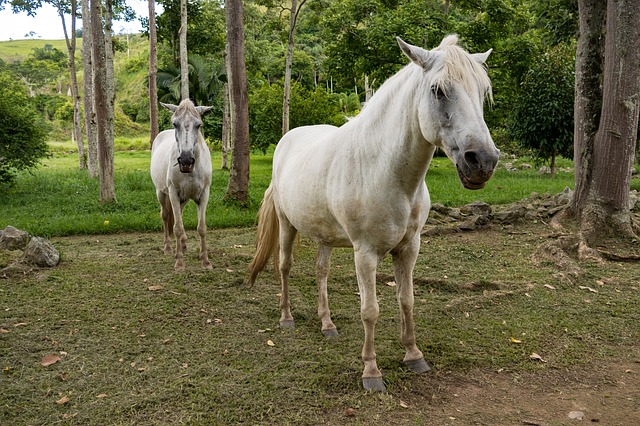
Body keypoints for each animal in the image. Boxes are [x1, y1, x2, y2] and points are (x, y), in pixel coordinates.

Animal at [149, 100, 212, 270]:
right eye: (175, 123)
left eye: (199, 125)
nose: (185, 161)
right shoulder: (173, 194)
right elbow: (176, 228)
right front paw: (179, 262)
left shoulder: (204, 194)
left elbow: (202, 228)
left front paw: (205, 261)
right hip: (161, 193)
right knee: (165, 216)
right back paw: (168, 247)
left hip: (183, 199)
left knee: (179, 216)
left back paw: (183, 245)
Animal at [246, 35, 500, 392]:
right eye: (437, 90)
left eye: (482, 90)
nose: (483, 162)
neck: (384, 170)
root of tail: (287, 140)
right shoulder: (365, 253)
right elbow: (370, 310)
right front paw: (371, 372)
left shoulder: (409, 249)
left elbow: (406, 300)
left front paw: (414, 355)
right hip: (286, 225)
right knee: (284, 266)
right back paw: (287, 318)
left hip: (325, 237)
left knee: (321, 272)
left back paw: (327, 324)